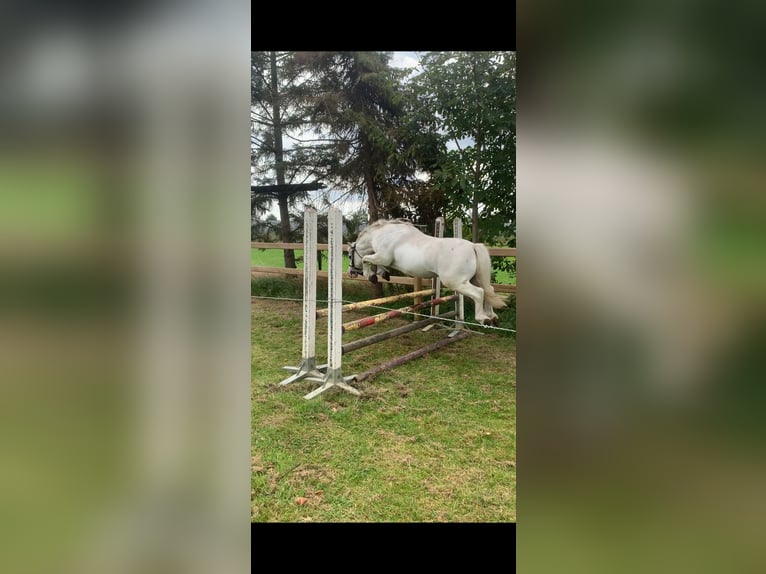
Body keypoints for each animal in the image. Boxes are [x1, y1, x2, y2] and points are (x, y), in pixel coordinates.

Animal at [348, 219, 507, 326]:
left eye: (349, 256)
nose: (351, 273)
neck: (382, 234)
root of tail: (473, 246)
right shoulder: (384, 258)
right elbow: (377, 263)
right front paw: (382, 274)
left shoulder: (383, 256)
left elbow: (366, 259)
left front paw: (371, 276)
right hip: (474, 279)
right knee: (489, 290)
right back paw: (492, 317)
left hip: (456, 282)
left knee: (479, 293)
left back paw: (483, 318)